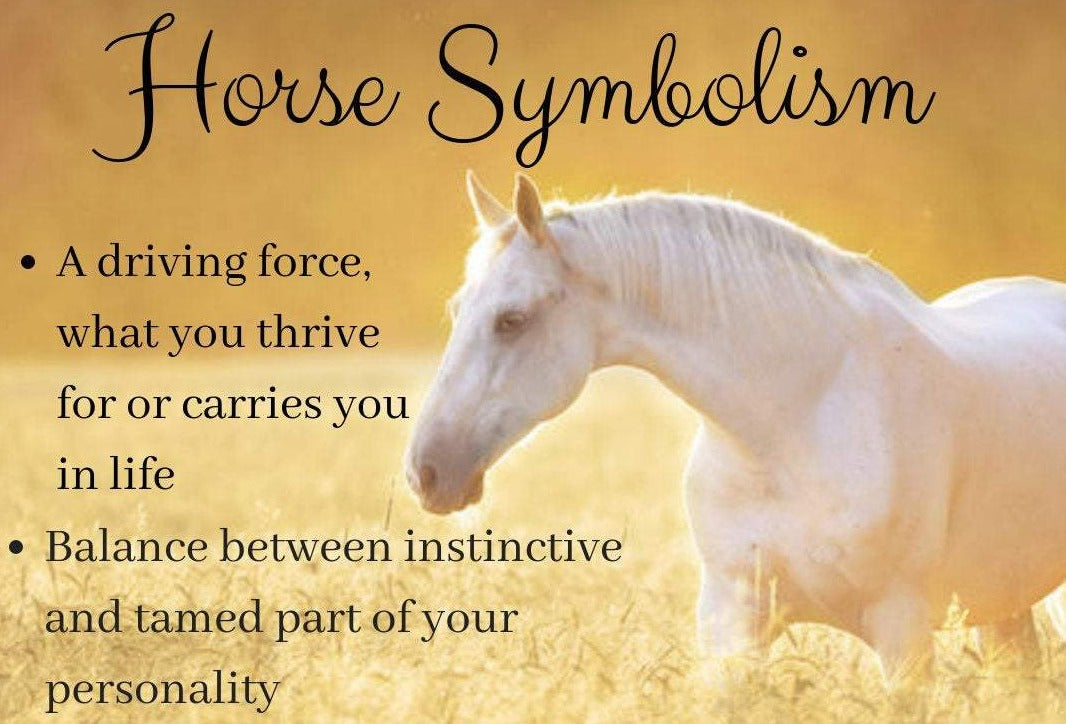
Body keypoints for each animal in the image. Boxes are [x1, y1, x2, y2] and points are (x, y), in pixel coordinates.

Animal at [403, 170, 1066, 679]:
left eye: (511, 320)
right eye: (458, 310)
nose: (425, 472)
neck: (795, 420)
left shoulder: (902, 632)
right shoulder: (732, 624)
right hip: (1002, 606)